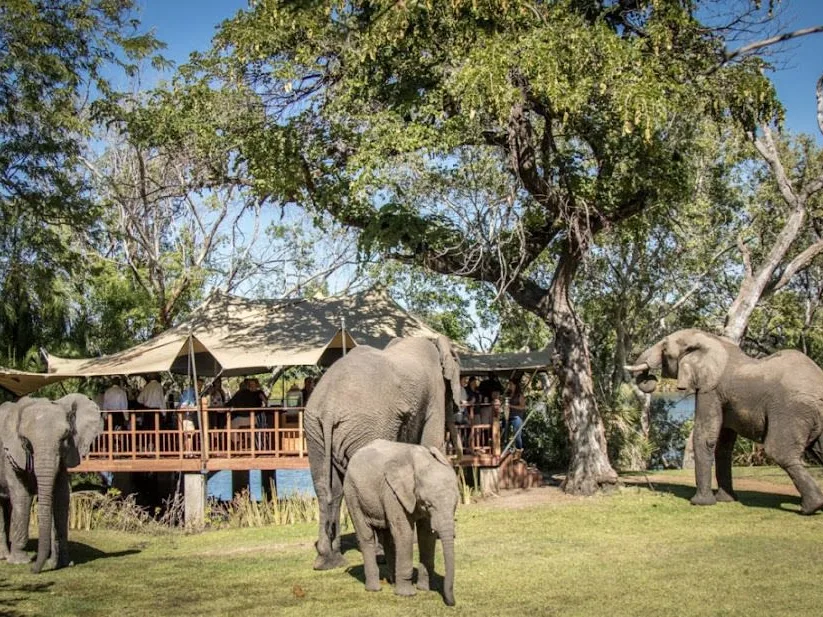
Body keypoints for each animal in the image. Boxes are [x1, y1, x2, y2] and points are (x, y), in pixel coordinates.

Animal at [0, 393, 103, 572]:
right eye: (25, 442)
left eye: (64, 438)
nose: (34, 570)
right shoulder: (10, 455)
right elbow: (22, 496)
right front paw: (21, 562)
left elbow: (61, 498)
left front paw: (63, 563)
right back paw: (5, 556)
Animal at [305, 335, 462, 571]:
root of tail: (329, 409)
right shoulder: (434, 393)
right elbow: (430, 442)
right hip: (365, 426)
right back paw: (380, 554)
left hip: (314, 431)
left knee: (328, 489)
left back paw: (328, 560)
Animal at [343, 439, 459, 606]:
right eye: (429, 504)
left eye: (456, 504)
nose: (451, 602)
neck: (421, 461)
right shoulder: (392, 492)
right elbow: (404, 533)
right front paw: (407, 594)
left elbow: (426, 535)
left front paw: (424, 589)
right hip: (351, 493)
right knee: (366, 536)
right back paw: (374, 588)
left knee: (389, 538)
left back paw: (392, 582)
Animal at [626, 328, 823, 514]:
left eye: (665, 347)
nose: (651, 378)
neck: (713, 340)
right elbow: (724, 445)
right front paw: (726, 500)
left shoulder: (710, 389)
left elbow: (706, 437)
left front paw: (700, 503)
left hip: (790, 411)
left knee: (779, 452)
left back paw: (810, 507)